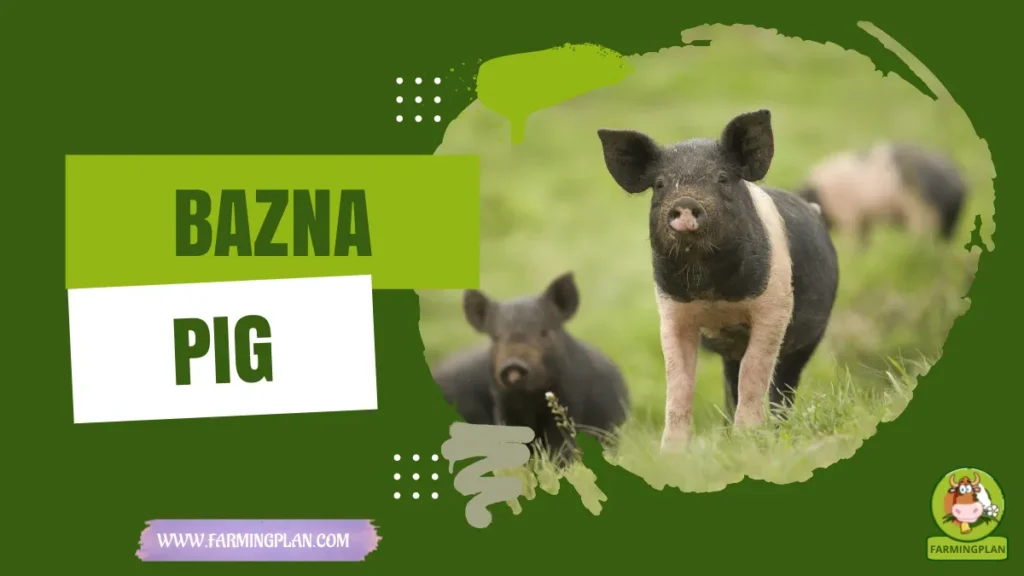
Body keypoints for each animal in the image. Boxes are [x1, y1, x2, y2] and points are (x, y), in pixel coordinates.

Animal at [430, 273, 631, 459]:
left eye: (543, 332)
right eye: (496, 337)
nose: (513, 366)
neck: (528, 401)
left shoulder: (570, 404)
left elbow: (561, 445)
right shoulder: (503, 408)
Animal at [597, 109, 839, 452]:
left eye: (722, 178)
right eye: (659, 184)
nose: (685, 202)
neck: (713, 294)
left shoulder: (775, 308)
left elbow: (754, 371)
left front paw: (748, 439)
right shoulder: (671, 311)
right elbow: (679, 379)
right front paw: (671, 454)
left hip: (811, 336)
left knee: (783, 384)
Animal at [796, 142, 968, 243]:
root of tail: (959, 181)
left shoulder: (849, 214)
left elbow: (853, 238)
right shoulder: (863, 218)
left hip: (922, 209)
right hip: (950, 217)